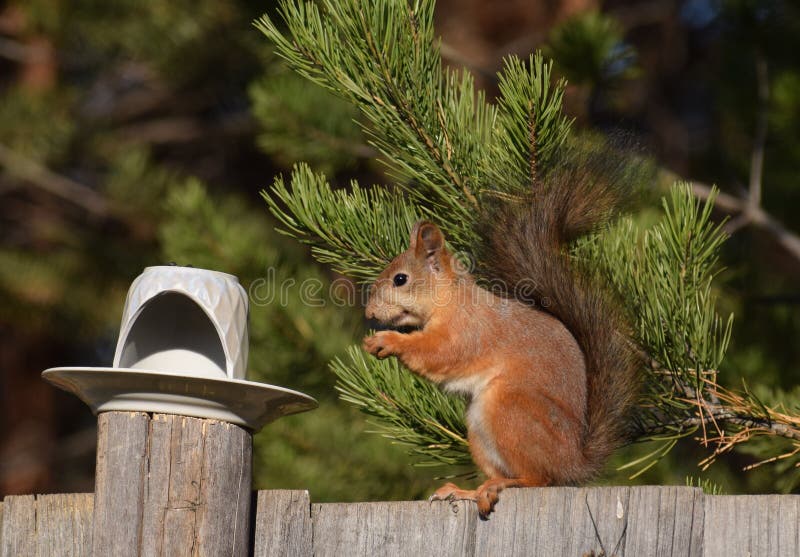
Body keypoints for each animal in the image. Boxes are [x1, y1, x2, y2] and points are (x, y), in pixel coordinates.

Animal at [362, 159, 639, 518]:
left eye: (400, 279)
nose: (368, 311)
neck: (453, 299)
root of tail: (574, 463)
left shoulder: (468, 331)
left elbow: (438, 352)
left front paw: (389, 341)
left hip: (509, 409)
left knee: (540, 479)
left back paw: (500, 486)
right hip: (479, 428)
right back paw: (467, 491)